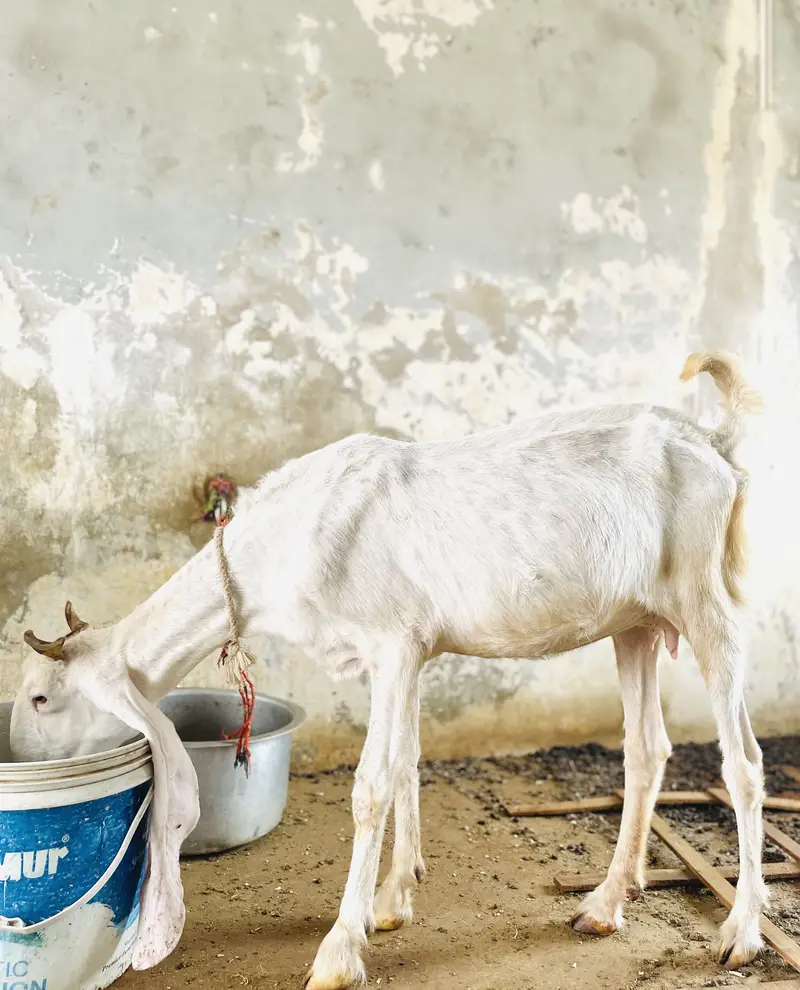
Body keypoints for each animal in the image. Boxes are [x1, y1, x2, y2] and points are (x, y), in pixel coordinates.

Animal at [11, 349, 764, 988]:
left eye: (43, 698)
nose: (16, 758)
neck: (283, 543)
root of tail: (712, 442)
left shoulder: (394, 642)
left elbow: (371, 784)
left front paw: (340, 949)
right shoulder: (404, 653)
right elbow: (406, 759)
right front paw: (392, 899)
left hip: (706, 601)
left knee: (744, 763)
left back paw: (742, 933)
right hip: (636, 623)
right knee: (646, 749)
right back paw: (606, 904)